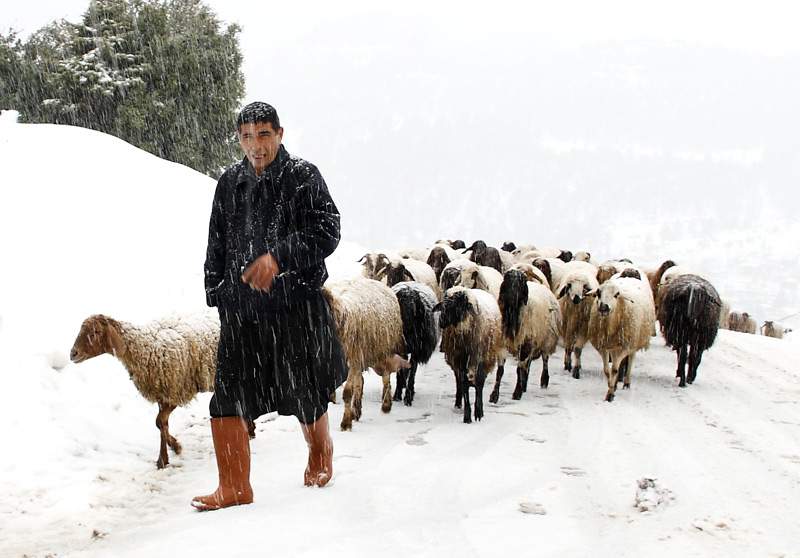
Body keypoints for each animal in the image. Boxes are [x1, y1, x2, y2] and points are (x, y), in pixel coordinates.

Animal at [69, 312, 234, 470]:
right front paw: (172, 448)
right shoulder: (162, 394)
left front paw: (166, 456)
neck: (144, 346)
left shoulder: (176, 392)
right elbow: (161, 423)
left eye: (95, 331)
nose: (72, 354)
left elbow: (160, 421)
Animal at [434, 288, 504, 424]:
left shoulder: (481, 360)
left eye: (458, 304)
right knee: (459, 382)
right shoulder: (460, 361)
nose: (441, 322)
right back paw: (458, 402)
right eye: (443, 304)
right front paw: (467, 416)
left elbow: (479, 384)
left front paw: (479, 413)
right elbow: (464, 384)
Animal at [488, 270, 564, 402]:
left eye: (522, 284)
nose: (512, 298)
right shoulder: (502, 344)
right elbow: (500, 371)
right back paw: (524, 384)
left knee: (544, 360)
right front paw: (494, 395)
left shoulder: (525, 344)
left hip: (546, 340)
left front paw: (517, 393)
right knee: (528, 364)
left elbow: (519, 369)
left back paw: (544, 380)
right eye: (507, 281)